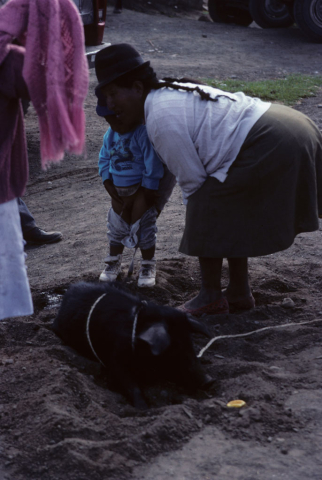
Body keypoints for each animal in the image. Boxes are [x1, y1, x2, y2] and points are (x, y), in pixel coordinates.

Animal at [52, 282, 214, 408]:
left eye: (190, 344)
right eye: (174, 349)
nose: (210, 381)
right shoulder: (115, 359)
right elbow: (130, 384)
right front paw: (143, 408)